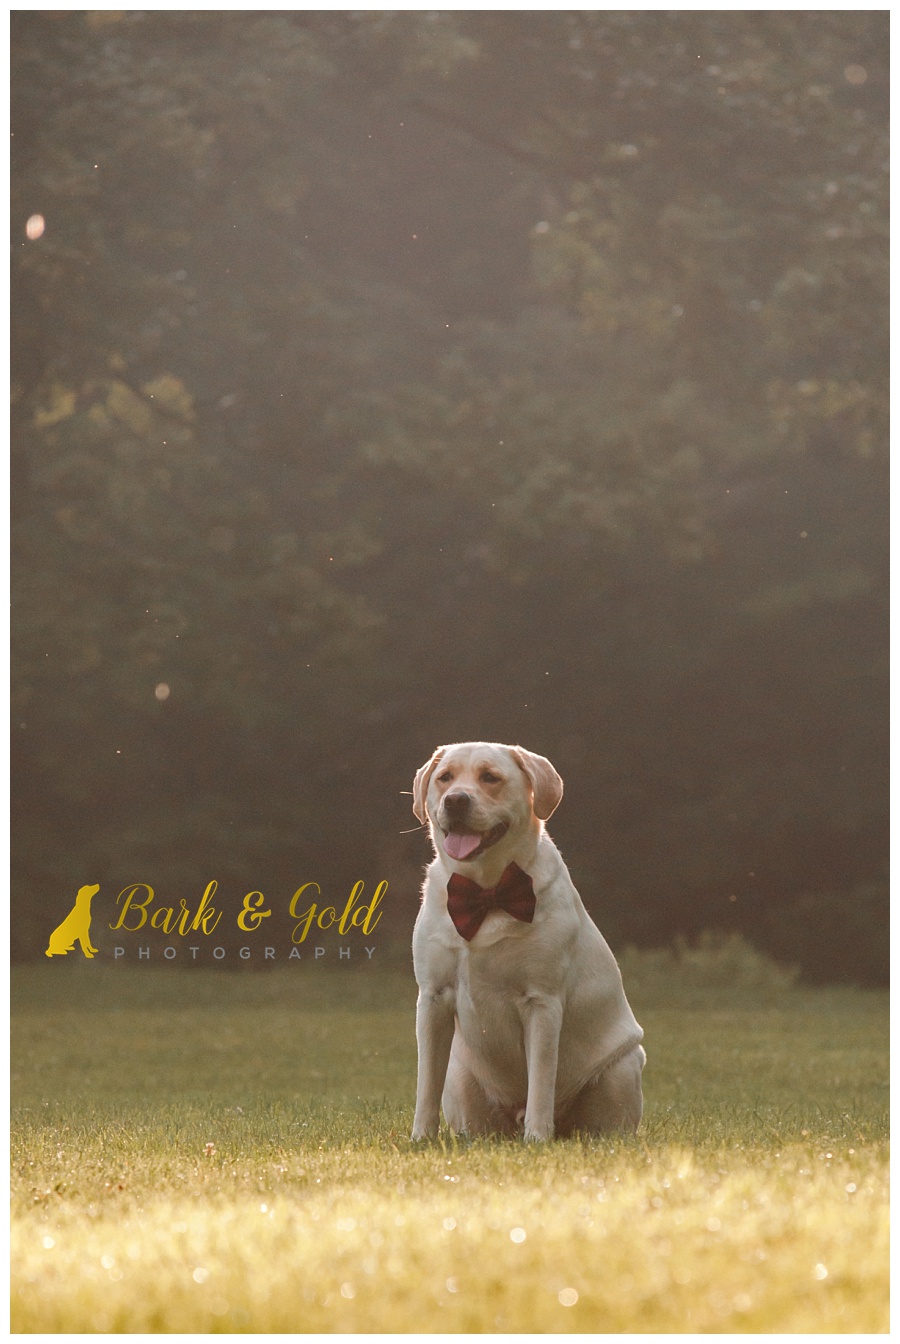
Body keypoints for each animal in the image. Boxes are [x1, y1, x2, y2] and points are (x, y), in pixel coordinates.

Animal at [413, 741, 644, 1139]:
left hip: (622, 1069)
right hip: (461, 1081)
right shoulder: (432, 998)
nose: (455, 800)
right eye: (445, 777)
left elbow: (540, 1080)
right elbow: (426, 1082)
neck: (486, 892)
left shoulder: (542, 1001)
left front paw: (537, 1138)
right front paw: (420, 1138)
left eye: (490, 777)